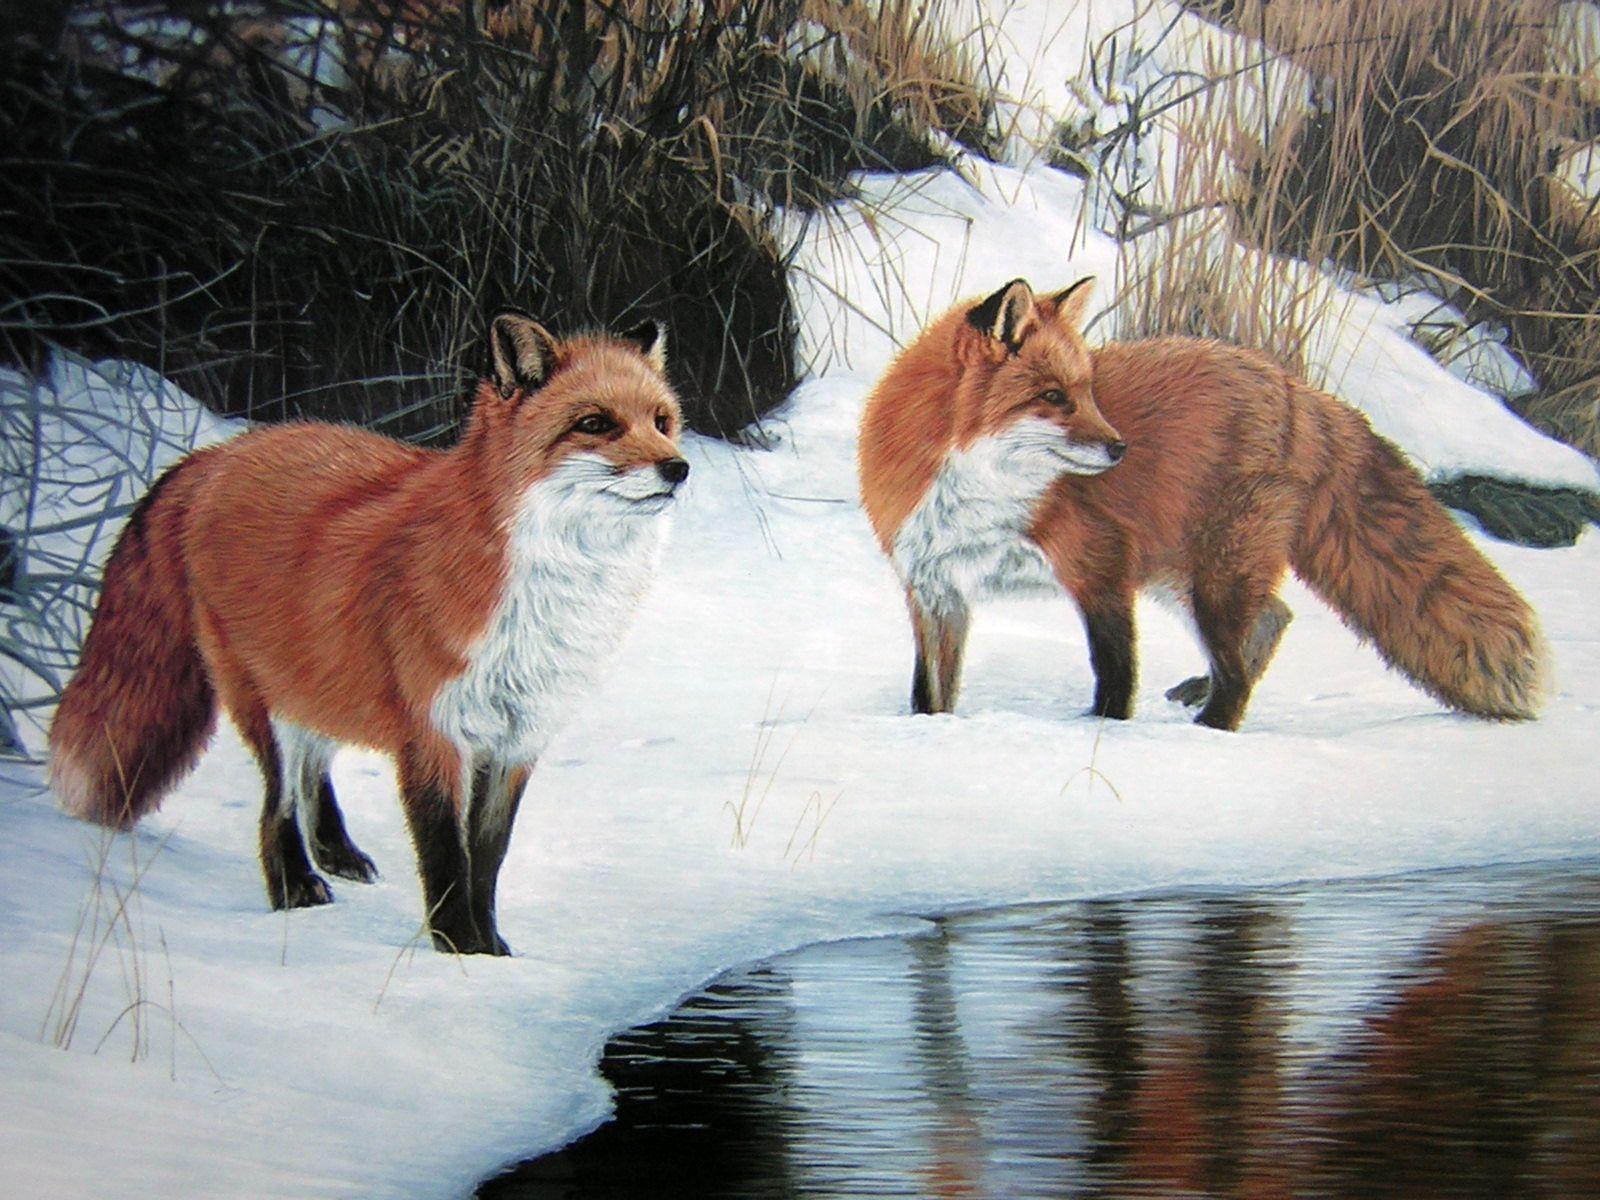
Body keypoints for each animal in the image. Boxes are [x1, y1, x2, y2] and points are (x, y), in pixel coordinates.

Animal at [49, 311, 689, 954]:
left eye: (662, 422)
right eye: (596, 424)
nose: (679, 468)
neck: (546, 602)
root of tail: (219, 454)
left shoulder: (517, 741)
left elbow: (487, 856)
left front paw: (492, 949)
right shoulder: (434, 733)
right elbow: (445, 852)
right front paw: (458, 945)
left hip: (320, 679)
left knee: (312, 772)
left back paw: (335, 852)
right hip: (266, 699)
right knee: (277, 803)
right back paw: (295, 886)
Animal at [858, 276, 1548, 731]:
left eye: (1088, 391)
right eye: (1053, 397)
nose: (1119, 448)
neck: (976, 498)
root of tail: (1296, 389)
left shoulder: (1100, 566)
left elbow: (1115, 673)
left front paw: (1102, 735)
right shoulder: (935, 589)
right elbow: (930, 692)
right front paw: (928, 739)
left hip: (1211, 576)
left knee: (1245, 661)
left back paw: (1211, 730)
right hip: (1182, 575)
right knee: (1275, 619)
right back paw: (1201, 695)